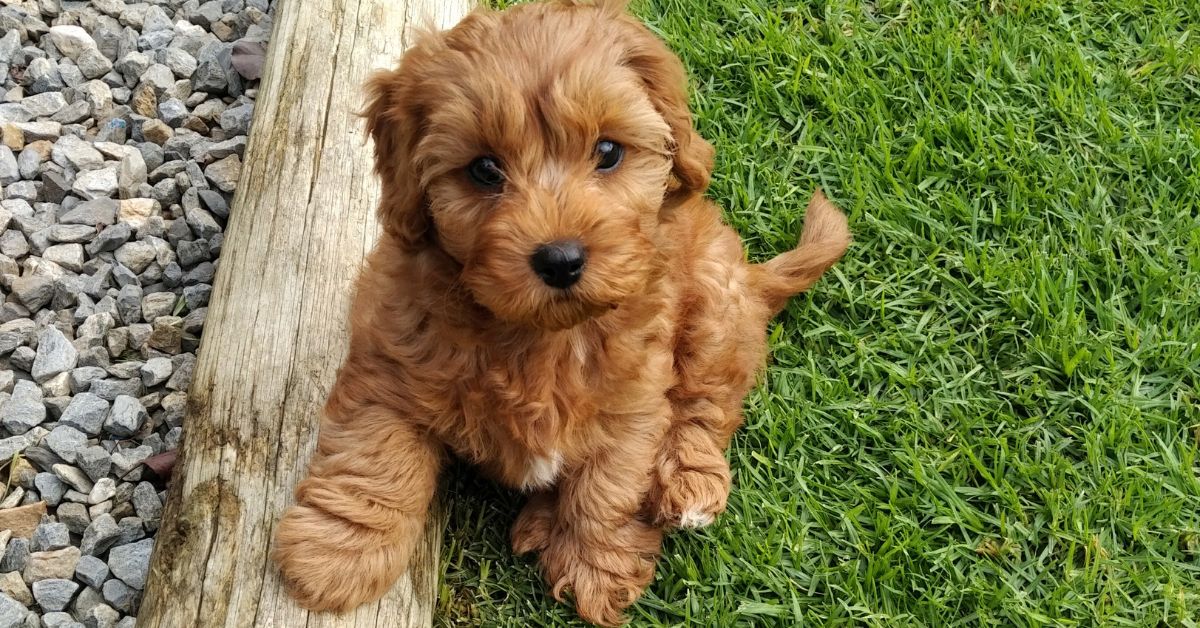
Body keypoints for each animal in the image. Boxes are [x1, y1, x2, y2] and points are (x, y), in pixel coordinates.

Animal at [272, 0, 854, 624]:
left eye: (608, 152)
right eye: (483, 169)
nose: (560, 259)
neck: (539, 339)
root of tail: (753, 279)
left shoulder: (633, 405)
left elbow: (606, 488)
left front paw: (594, 566)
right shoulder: (389, 369)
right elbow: (373, 459)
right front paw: (336, 556)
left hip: (713, 307)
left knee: (705, 408)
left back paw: (686, 486)